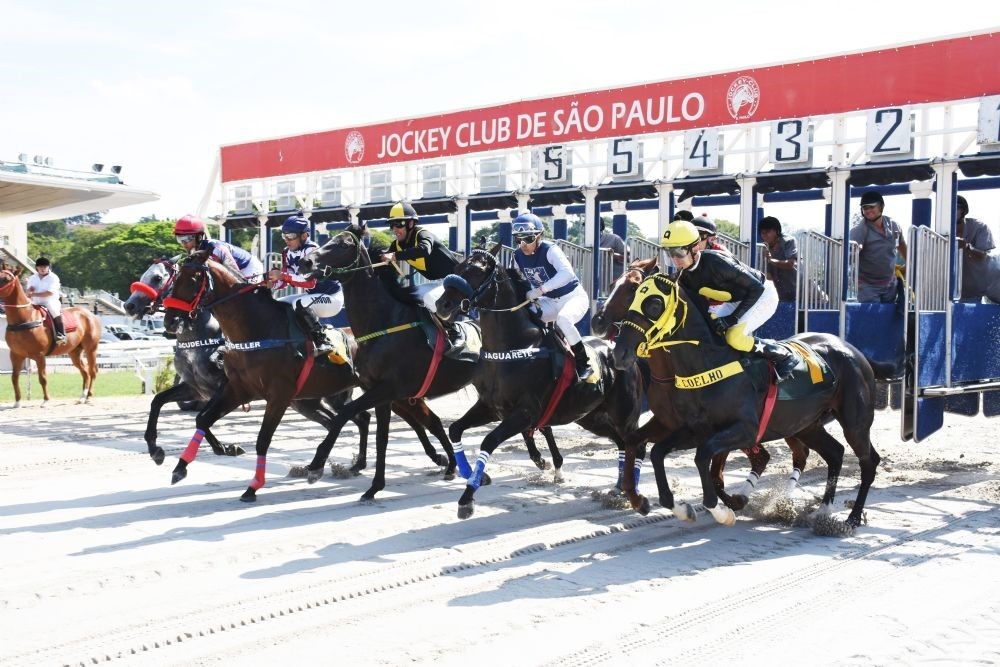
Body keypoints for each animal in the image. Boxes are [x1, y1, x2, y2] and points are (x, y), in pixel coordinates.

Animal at [0, 268, 101, 408]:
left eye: (6, 279)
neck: (24, 318)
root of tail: (89, 314)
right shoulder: (16, 355)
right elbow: (14, 378)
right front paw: (17, 401)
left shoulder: (39, 355)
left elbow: (43, 378)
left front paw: (46, 400)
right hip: (74, 352)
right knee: (85, 372)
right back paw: (81, 397)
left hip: (91, 349)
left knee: (92, 371)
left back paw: (89, 397)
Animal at [296, 230, 564, 500]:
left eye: (343, 244)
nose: (306, 262)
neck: (385, 323)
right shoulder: (385, 393)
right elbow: (386, 436)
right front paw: (375, 486)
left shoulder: (389, 389)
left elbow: (346, 415)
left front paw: (316, 465)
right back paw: (540, 459)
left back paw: (548, 462)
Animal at [436, 245, 640, 520]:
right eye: (457, 268)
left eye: (477, 271)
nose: (442, 304)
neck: (513, 346)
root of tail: (617, 349)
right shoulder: (490, 406)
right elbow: (455, 429)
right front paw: (473, 475)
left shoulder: (525, 411)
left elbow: (488, 441)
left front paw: (467, 498)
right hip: (589, 416)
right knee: (619, 442)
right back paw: (619, 486)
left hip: (623, 413)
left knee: (633, 444)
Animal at [616, 274, 892, 528]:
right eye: (632, 298)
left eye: (653, 303)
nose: (620, 352)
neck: (706, 365)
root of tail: (855, 351)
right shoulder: (693, 429)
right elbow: (657, 452)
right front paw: (677, 507)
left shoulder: (744, 430)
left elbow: (703, 458)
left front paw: (721, 511)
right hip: (805, 425)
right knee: (835, 453)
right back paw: (822, 511)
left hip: (855, 423)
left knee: (868, 461)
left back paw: (852, 518)